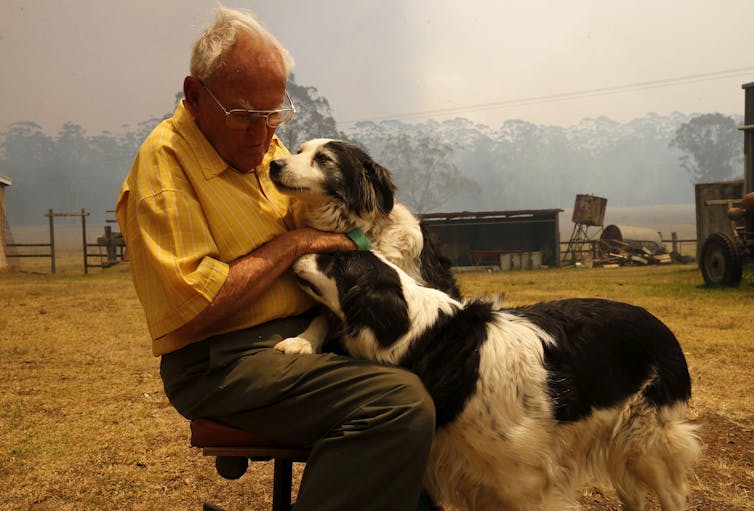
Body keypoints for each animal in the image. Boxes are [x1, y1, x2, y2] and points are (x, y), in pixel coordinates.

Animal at [270, 139, 458, 356]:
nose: (273, 165)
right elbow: (322, 316)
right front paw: (303, 340)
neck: (362, 230)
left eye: (323, 158)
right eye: (299, 151)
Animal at [290, 252, 700, 511]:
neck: (427, 338)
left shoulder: (526, 485)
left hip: (646, 441)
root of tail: (660, 325)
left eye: (335, 260)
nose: (298, 253)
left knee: (673, 495)